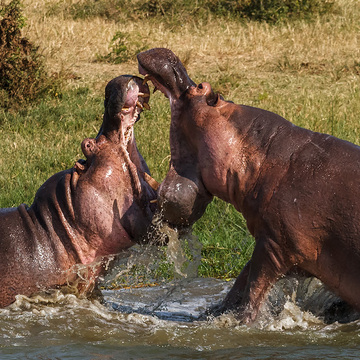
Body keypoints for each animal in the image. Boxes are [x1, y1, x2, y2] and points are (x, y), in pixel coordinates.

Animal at [137, 46, 360, 324]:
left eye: (201, 88)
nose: (169, 55)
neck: (264, 156)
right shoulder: (269, 239)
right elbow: (238, 285)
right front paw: (211, 316)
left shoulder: (276, 245)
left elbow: (254, 289)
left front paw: (242, 323)